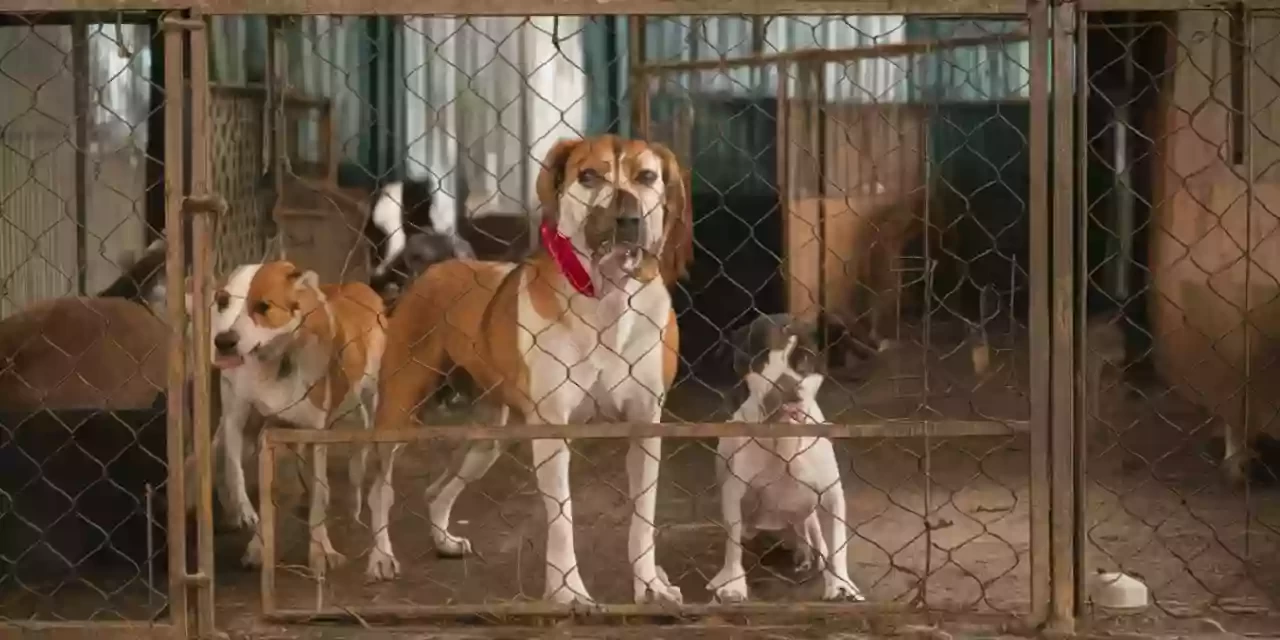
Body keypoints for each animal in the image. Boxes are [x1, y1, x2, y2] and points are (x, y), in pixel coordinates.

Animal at [194, 259, 384, 576]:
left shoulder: (316, 433)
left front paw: (321, 551)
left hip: (363, 410)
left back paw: (355, 510)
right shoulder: (239, 421)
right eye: (222, 301)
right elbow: (237, 472)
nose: (224, 342)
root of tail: (358, 286)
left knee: (357, 465)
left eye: (263, 306)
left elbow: (320, 494)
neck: (273, 365)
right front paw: (249, 523)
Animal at [363, 135, 691, 604]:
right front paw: (569, 592)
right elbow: (562, 520)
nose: (628, 219)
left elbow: (642, 520)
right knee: (380, 487)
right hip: (398, 412)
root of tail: (434, 269)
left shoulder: (646, 425)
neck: (607, 301)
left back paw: (444, 540)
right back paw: (380, 557)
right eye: (589, 176)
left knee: (437, 488)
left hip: (490, 437)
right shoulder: (552, 431)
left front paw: (649, 584)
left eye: (647, 177)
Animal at [711, 316, 860, 604]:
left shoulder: (831, 495)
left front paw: (840, 585)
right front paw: (733, 584)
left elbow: (838, 544)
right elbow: (732, 546)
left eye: (804, 357)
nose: (785, 385)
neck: (784, 440)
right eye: (760, 356)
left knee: (813, 536)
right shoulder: (733, 493)